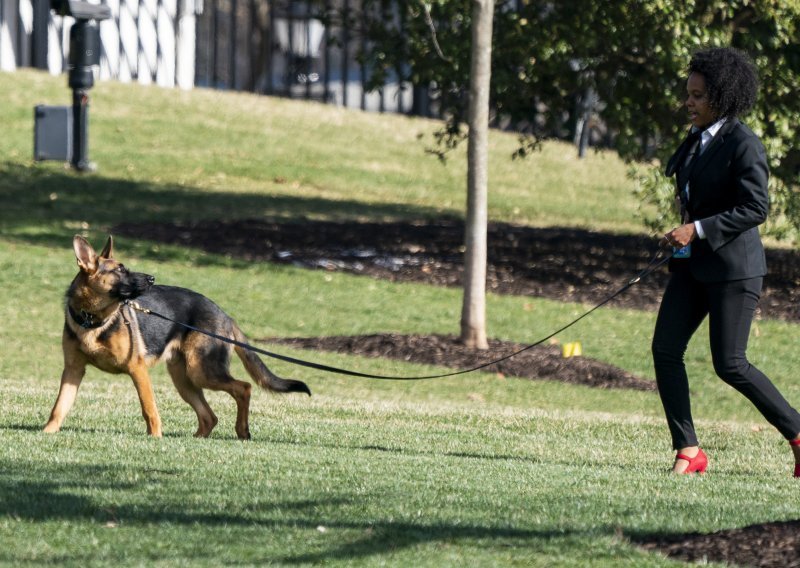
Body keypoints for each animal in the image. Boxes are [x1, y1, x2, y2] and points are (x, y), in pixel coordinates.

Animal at [43, 235, 312, 440]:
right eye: (120, 270)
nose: (152, 278)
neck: (92, 320)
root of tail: (225, 315)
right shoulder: (73, 370)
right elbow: (59, 407)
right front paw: (47, 432)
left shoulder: (137, 369)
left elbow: (149, 408)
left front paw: (155, 437)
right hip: (184, 379)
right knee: (209, 416)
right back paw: (198, 439)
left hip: (201, 371)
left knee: (243, 388)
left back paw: (242, 431)